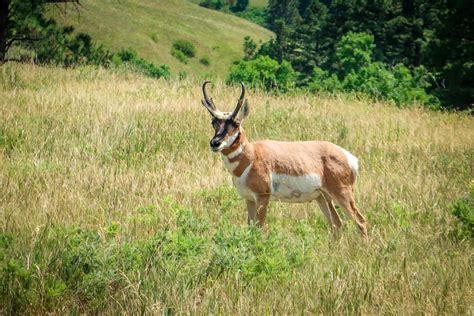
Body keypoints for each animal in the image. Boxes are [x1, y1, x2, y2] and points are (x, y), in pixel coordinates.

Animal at [199, 82, 366, 239]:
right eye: (213, 122)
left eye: (236, 123)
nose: (215, 143)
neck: (252, 155)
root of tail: (350, 157)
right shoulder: (249, 199)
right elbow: (250, 227)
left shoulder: (262, 197)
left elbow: (258, 228)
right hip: (323, 197)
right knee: (336, 224)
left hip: (342, 194)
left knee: (360, 221)